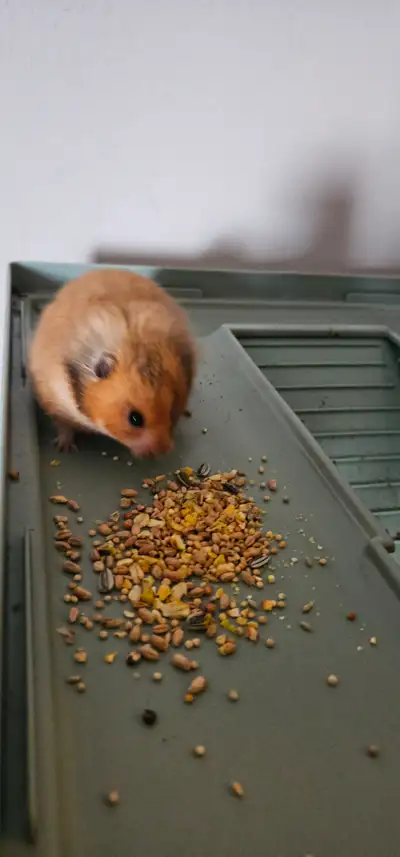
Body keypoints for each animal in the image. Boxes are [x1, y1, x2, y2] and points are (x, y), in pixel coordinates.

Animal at [28, 268, 196, 457]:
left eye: (172, 407)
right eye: (135, 419)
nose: (164, 451)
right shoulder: (56, 404)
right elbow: (64, 427)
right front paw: (64, 449)